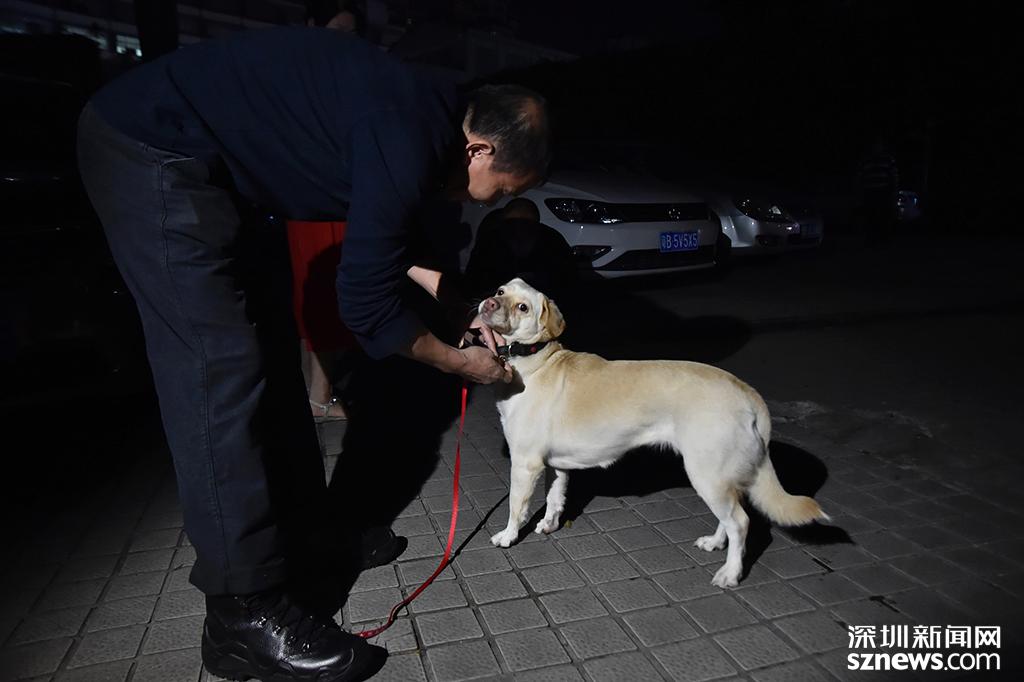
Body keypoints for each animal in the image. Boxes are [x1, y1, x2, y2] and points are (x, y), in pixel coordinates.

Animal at [478, 278, 828, 587]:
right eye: (500, 291)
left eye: (523, 307)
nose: (489, 302)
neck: (535, 360)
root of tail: (747, 392)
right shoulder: (556, 466)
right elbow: (554, 500)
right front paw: (549, 525)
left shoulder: (525, 465)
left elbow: (516, 507)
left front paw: (508, 535)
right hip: (717, 478)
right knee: (730, 518)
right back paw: (715, 543)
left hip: (706, 474)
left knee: (740, 523)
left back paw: (730, 574)